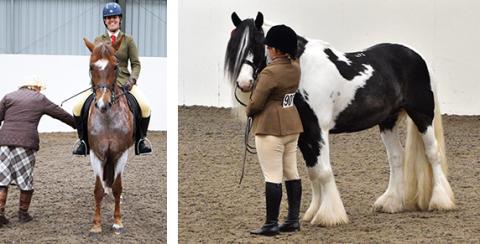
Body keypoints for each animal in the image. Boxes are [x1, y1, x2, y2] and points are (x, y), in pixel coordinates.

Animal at [225, 10, 454, 225]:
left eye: (257, 42)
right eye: (233, 47)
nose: (244, 83)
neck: (303, 69)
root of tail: (417, 57)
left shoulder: (319, 129)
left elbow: (324, 171)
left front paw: (329, 216)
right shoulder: (304, 133)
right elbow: (313, 172)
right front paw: (312, 212)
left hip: (422, 116)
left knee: (433, 153)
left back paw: (440, 200)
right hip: (387, 121)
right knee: (397, 157)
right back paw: (390, 203)